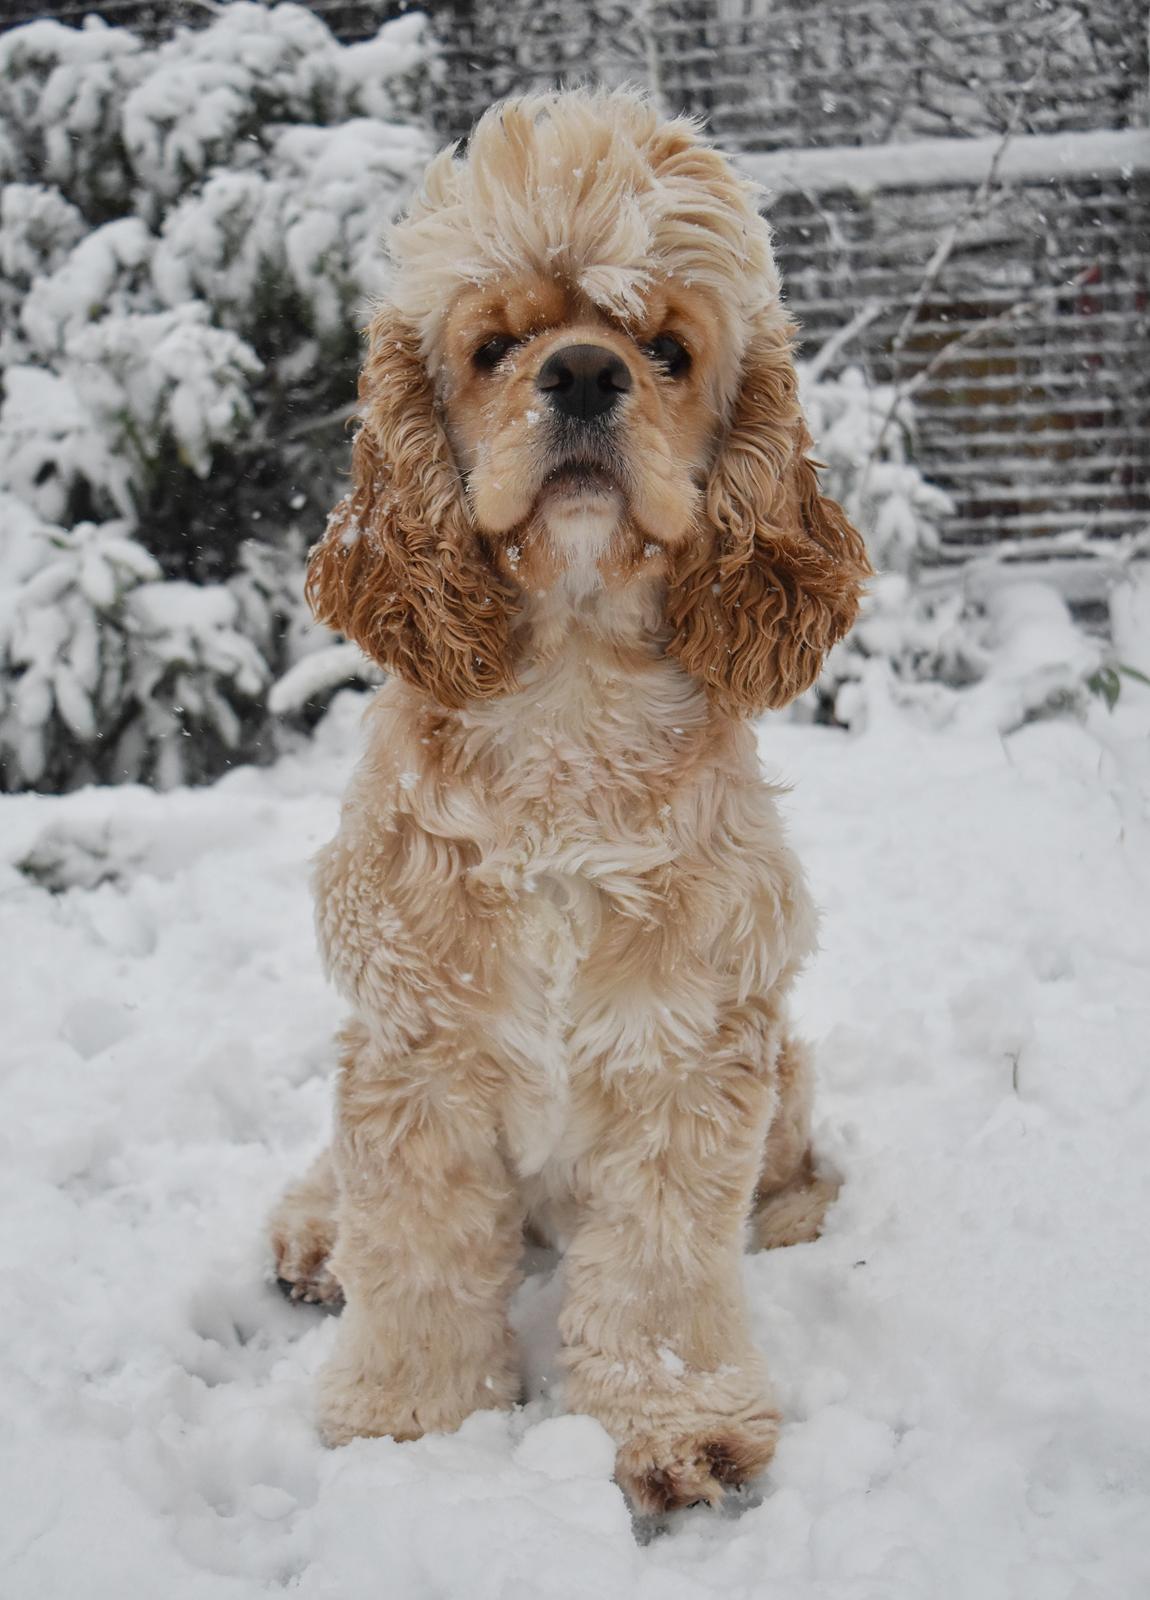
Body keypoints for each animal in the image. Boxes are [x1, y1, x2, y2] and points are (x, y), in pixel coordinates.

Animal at [271, 87, 870, 1510]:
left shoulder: (687, 1049)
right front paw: (408, 1424)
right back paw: (311, 1238)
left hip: (786, 1060)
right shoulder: (413, 1046)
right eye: (493, 346)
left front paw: (679, 1424)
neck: (569, 697)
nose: (586, 373)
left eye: (665, 348)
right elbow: (415, 1253)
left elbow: (656, 1271)